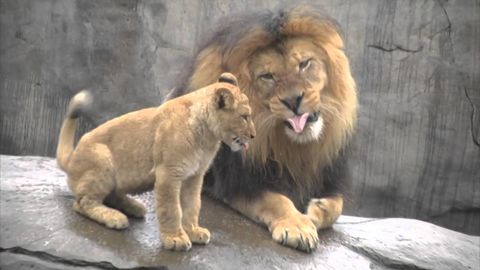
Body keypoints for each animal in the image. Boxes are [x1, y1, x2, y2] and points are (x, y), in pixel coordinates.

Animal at [169, 4, 356, 253]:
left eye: (304, 64)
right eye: (267, 76)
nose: (293, 101)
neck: (293, 147)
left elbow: (338, 204)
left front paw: (319, 209)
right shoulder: (237, 182)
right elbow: (276, 200)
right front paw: (297, 227)